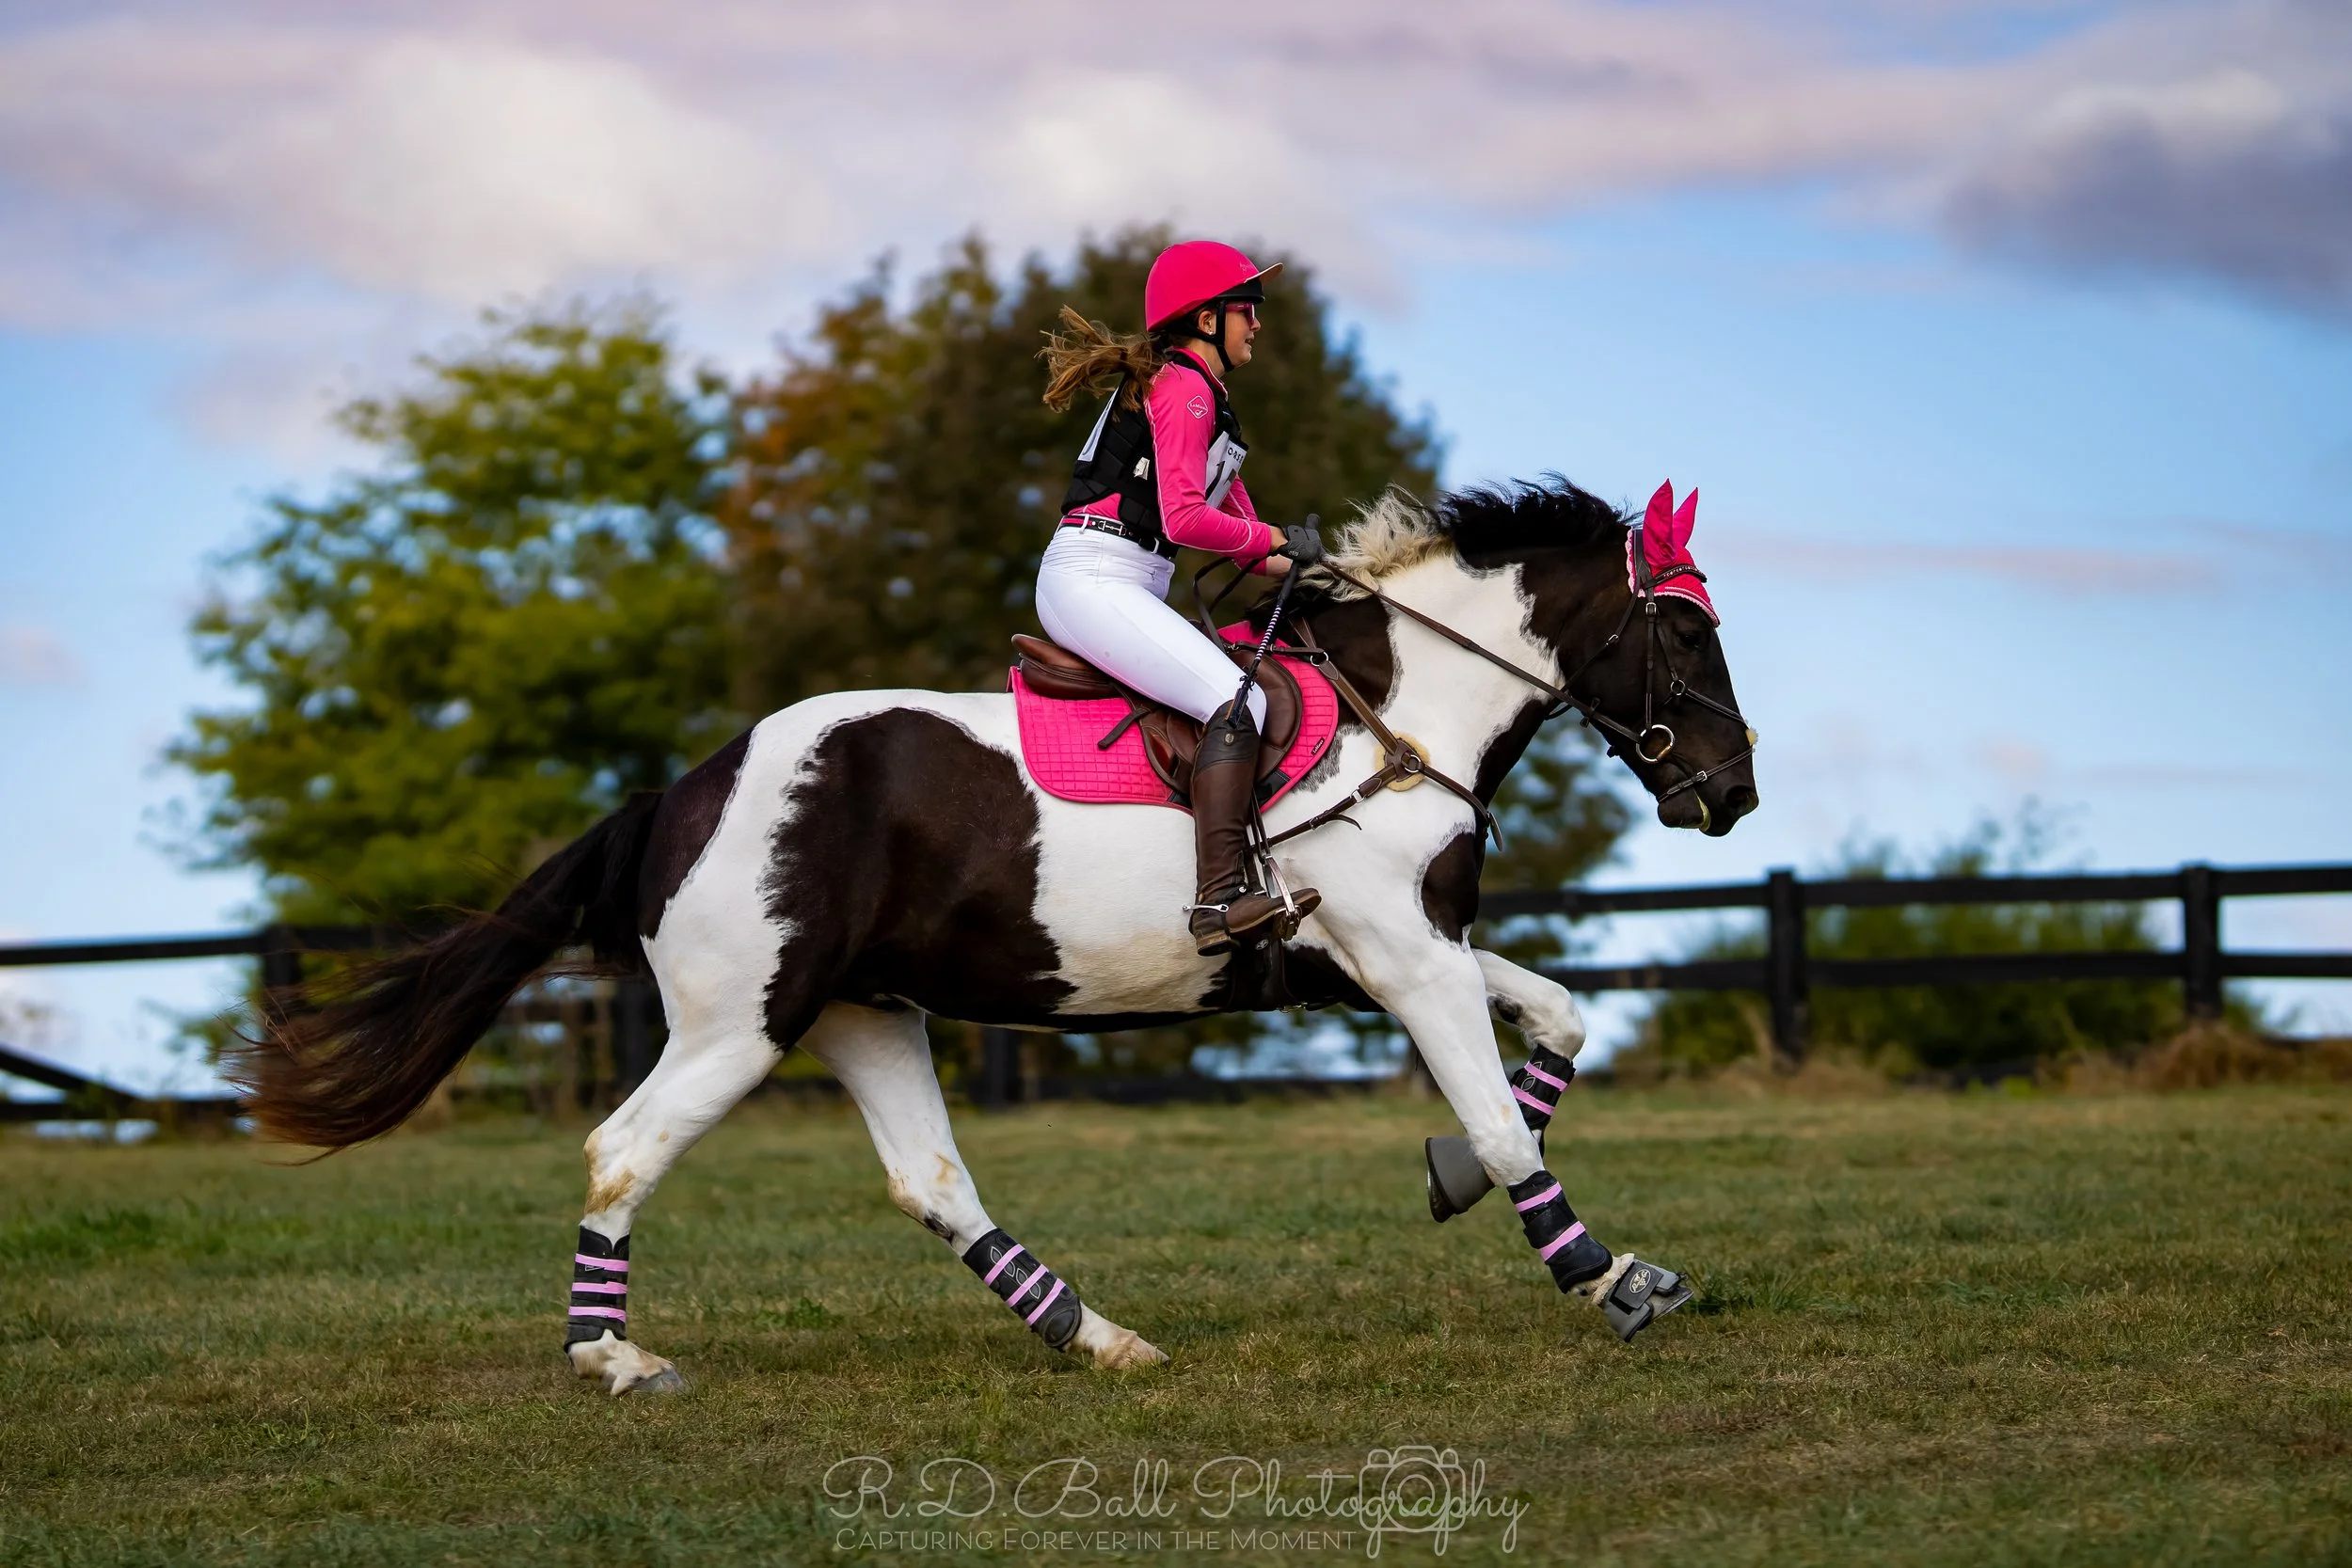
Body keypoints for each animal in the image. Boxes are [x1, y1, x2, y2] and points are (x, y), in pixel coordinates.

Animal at [230, 477, 1758, 1395]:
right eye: (1687, 639)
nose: (1731, 793)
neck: (1404, 719)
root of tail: (686, 788)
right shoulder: (1403, 959)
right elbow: (1505, 1122)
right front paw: (1616, 1278)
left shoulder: (1399, 956)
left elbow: (1557, 1021)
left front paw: (1454, 1174)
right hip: (743, 1022)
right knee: (624, 1146)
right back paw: (615, 1358)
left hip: (866, 1013)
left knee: (931, 1182)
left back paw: (1099, 1334)